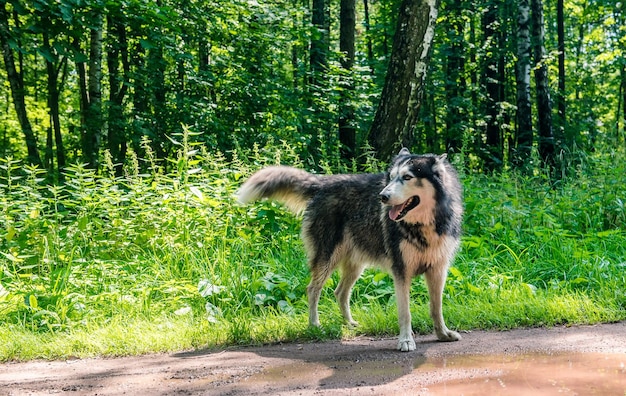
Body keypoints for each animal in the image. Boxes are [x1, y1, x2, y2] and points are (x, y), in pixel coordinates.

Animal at [236, 148, 460, 350]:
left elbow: (436, 308)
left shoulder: (438, 271)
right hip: (327, 259)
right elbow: (405, 313)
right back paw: (315, 325)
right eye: (391, 178)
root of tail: (323, 183)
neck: (424, 225)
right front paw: (405, 340)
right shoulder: (401, 272)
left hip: (355, 266)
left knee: (340, 292)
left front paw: (443, 334)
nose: (382, 196)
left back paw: (349, 323)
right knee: (313, 289)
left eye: (407, 177)